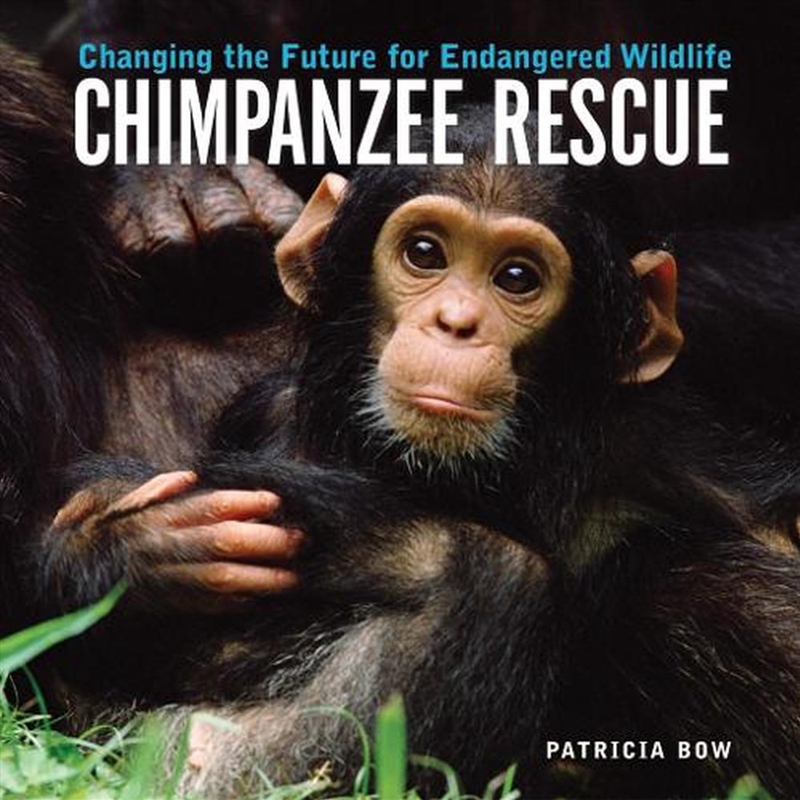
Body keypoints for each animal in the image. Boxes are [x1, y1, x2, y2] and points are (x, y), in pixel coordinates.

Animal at [38, 106, 800, 798]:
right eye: (426, 254)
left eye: (517, 278)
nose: (455, 322)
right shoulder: (263, 412)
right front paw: (137, 542)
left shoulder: (691, 464)